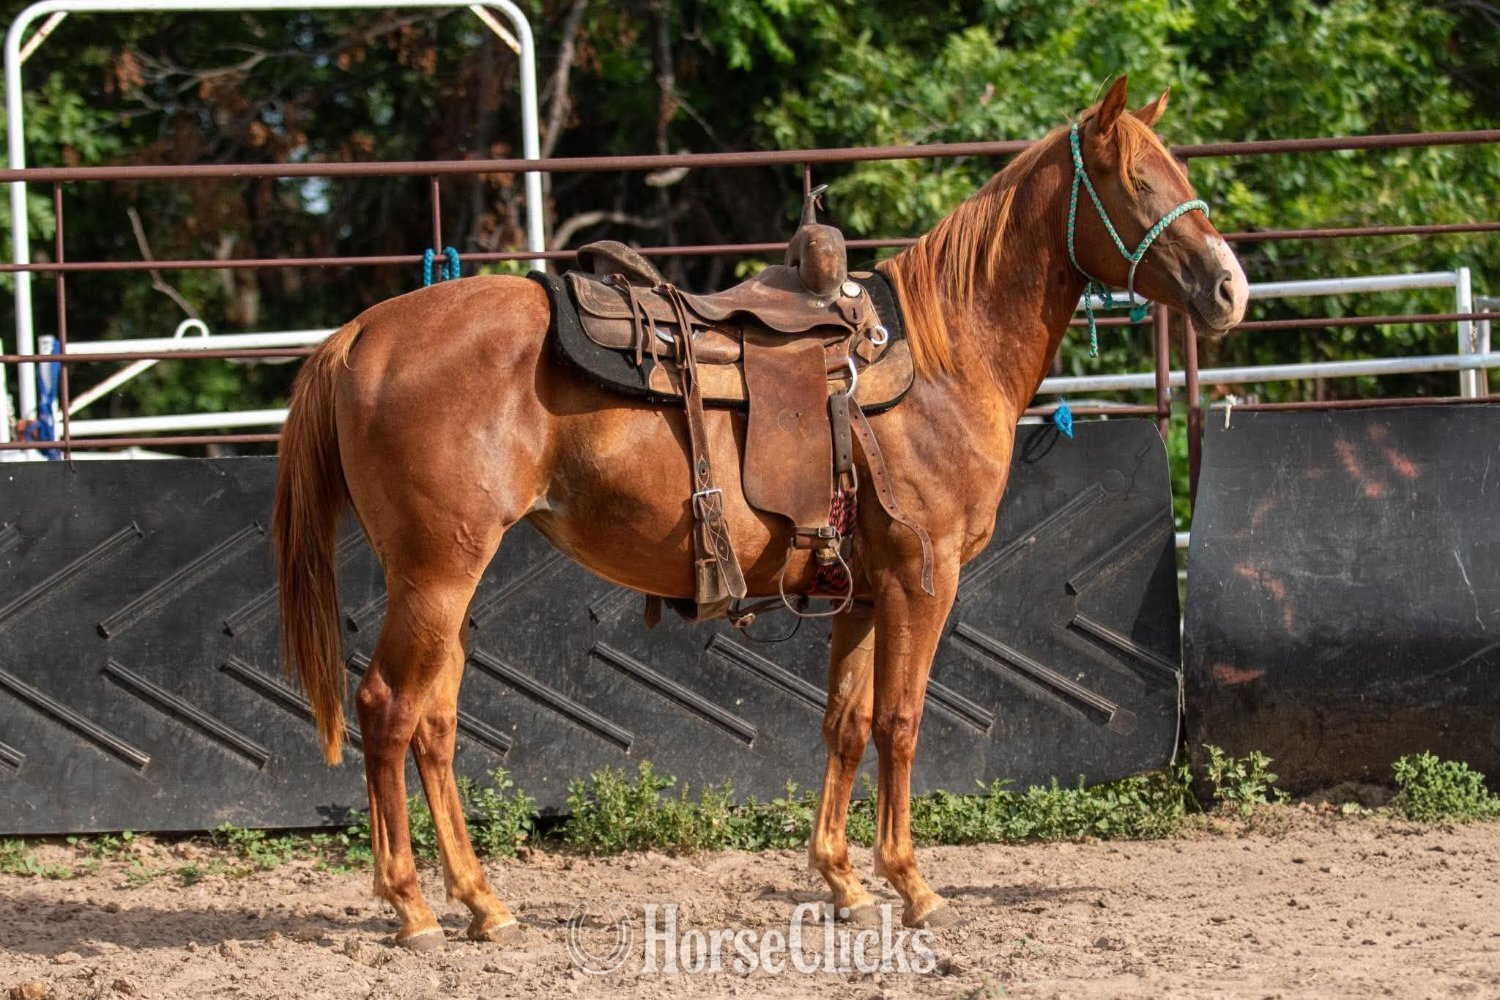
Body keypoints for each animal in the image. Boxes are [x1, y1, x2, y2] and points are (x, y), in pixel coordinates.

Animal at [272, 76, 1247, 949]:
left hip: (446, 584)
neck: (943, 360)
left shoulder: (864, 591)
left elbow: (846, 725)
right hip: (437, 575)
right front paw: (913, 886)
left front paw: (845, 882)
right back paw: (411, 908)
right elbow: (901, 724)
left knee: (434, 724)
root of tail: (361, 335)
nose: (1231, 289)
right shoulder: (924, 579)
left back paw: (483, 903)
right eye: (1139, 181)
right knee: (387, 708)